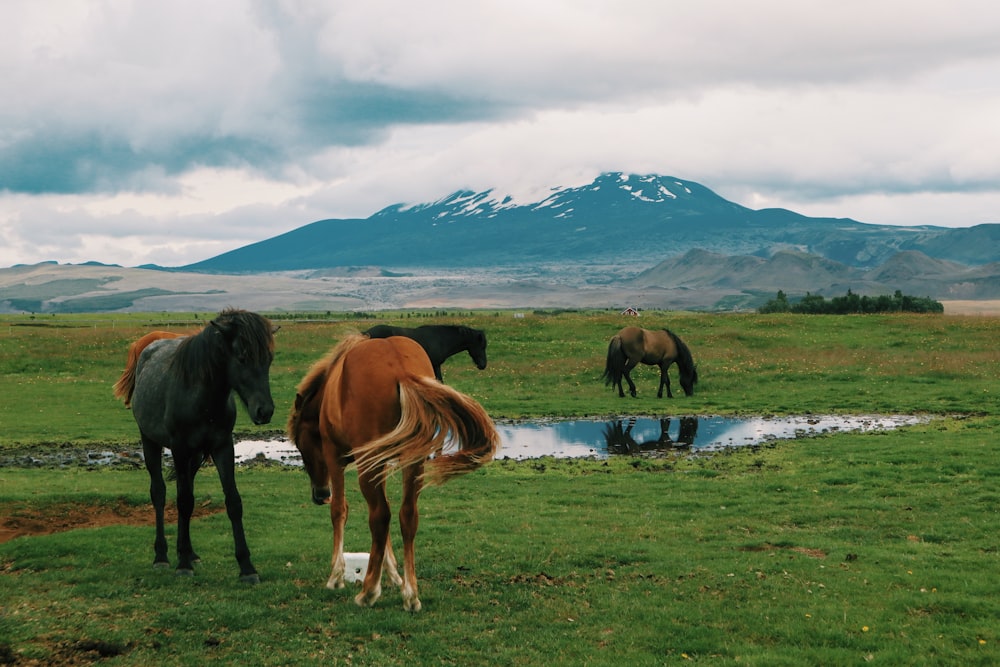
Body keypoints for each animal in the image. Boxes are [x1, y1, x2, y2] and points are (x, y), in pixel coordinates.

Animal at [117, 310, 278, 584]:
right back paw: (162, 556)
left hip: (195, 456)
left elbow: (232, 502)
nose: (264, 411)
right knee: (160, 493)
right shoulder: (180, 448)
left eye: (269, 359)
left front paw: (247, 567)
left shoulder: (223, 447)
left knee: (186, 490)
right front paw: (181, 563)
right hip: (151, 442)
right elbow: (183, 502)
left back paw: (190, 553)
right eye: (242, 357)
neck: (202, 398)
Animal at [290, 334, 500, 612]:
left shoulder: (336, 458)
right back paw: (410, 594)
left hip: (369, 464)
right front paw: (393, 575)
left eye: (300, 445)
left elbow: (340, 511)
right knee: (406, 516)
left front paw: (337, 576)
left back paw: (368, 592)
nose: (319, 494)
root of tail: (402, 371)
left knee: (380, 516)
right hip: (413, 463)